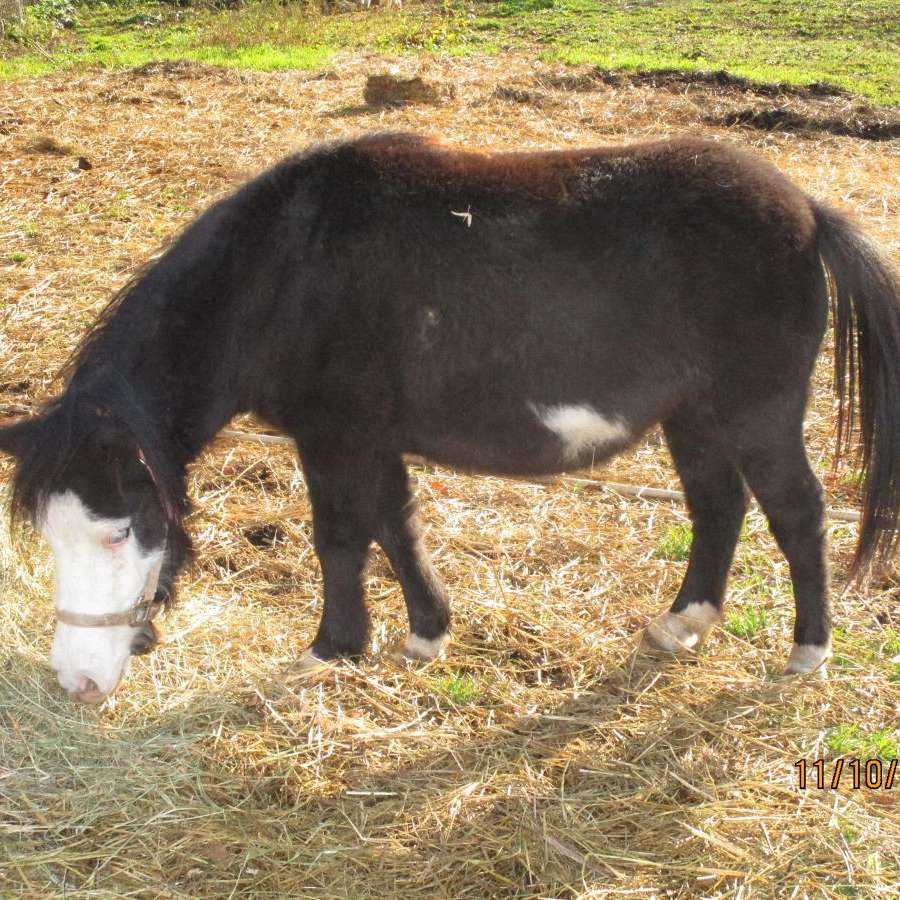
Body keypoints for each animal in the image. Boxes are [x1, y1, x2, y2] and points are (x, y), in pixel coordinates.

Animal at [1, 134, 900, 700]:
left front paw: (332, 648)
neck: (281, 274)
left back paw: (808, 651)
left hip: (757, 415)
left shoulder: (334, 439)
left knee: (797, 516)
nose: (77, 681)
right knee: (719, 508)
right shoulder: (371, 441)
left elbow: (342, 537)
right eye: (49, 534)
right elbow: (396, 526)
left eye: (121, 530)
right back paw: (683, 624)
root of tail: (807, 212)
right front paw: (428, 633)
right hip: (696, 418)